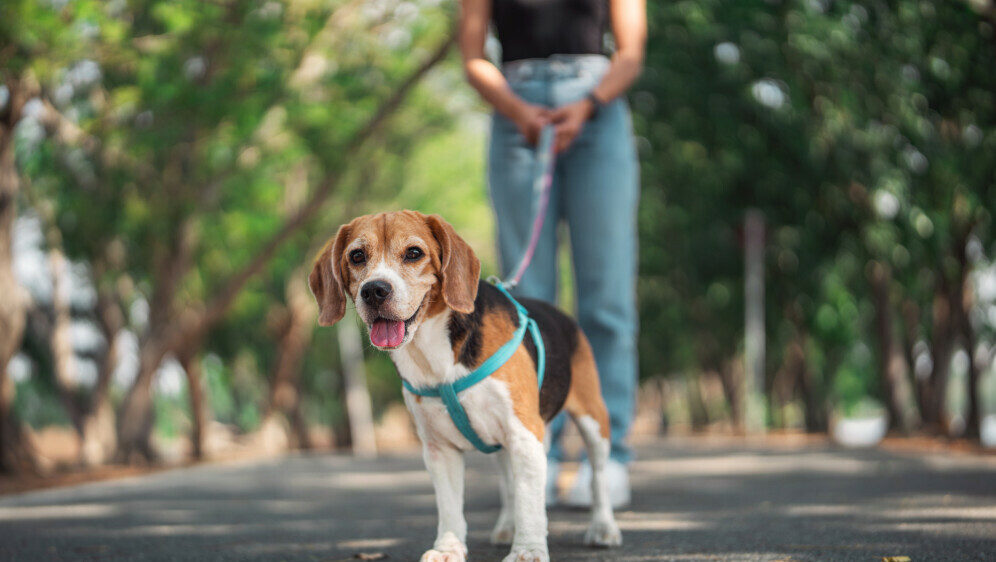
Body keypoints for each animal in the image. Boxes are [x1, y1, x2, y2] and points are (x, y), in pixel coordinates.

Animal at [310, 210, 624, 560]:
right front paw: (448, 548)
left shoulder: (523, 433)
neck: (433, 353)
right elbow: (451, 507)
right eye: (357, 256)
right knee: (509, 481)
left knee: (597, 476)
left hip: (592, 421)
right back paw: (508, 525)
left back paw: (603, 527)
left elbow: (530, 502)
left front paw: (528, 550)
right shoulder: (439, 448)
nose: (374, 290)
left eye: (414, 253)